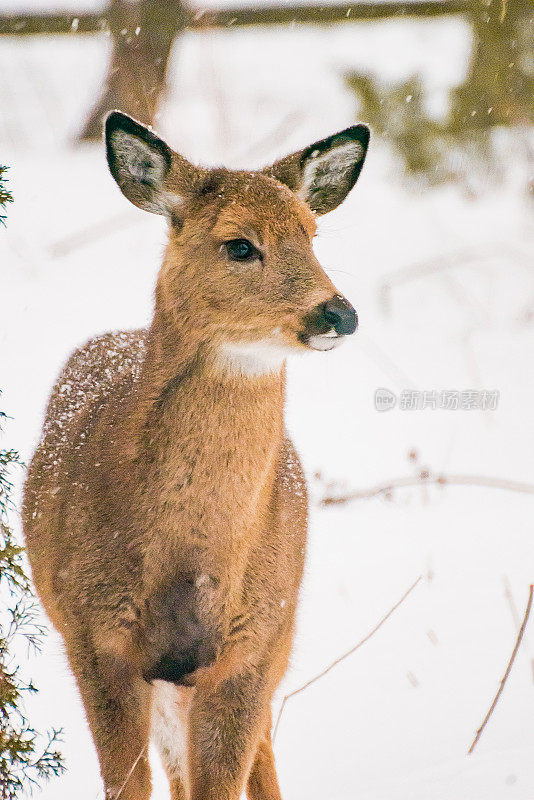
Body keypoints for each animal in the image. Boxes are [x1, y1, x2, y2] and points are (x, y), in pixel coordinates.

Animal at [23, 112, 370, 800]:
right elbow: (128, 786)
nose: (337, 313)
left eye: (312, 234)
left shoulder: (250, 651)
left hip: (271, 647)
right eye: (239, 245)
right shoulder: (95, 640)